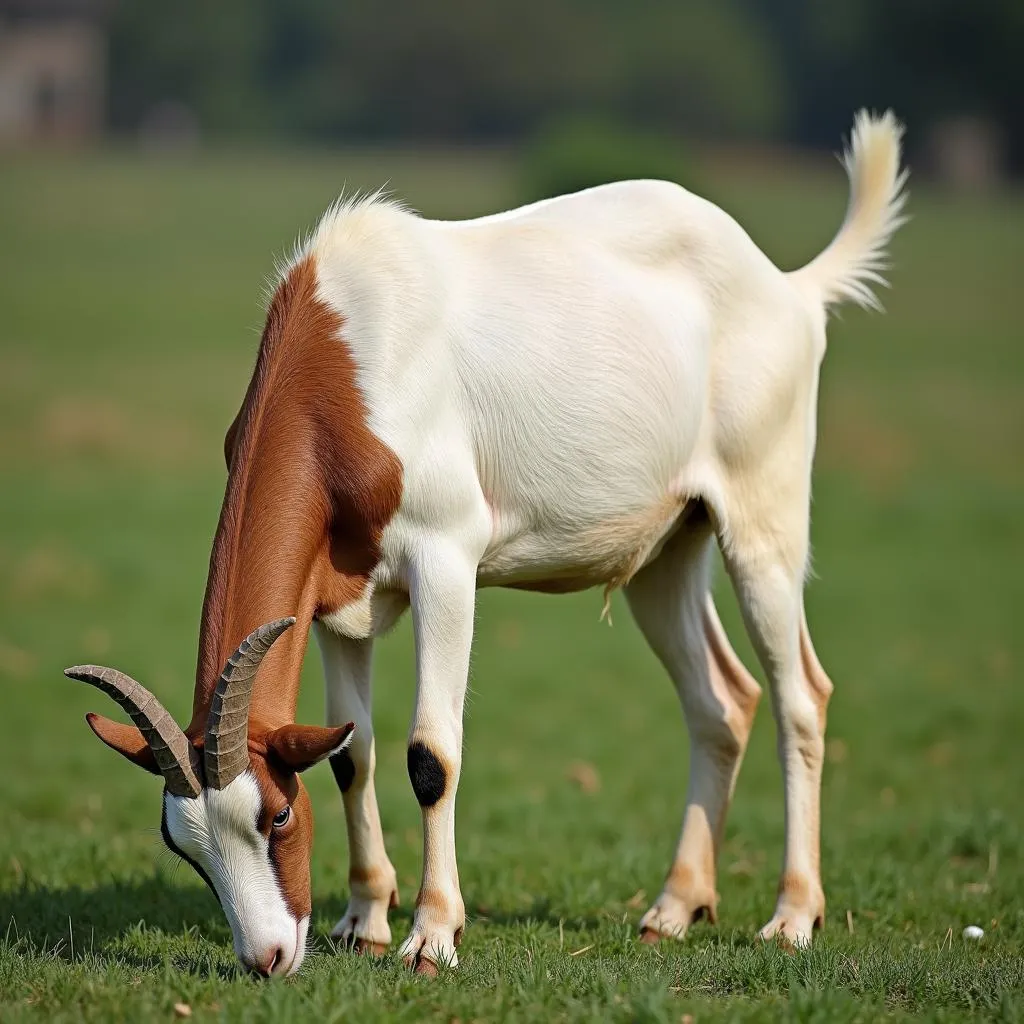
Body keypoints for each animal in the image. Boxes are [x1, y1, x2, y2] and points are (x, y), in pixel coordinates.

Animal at [68, 112, 909, 974]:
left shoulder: (446, 561)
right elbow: (350, 754)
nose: (266, 957)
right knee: (723, 700)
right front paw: (363, 923)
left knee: (799, 696)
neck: (351, 345)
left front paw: (432, 935)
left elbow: (430, 754)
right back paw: (673, 909)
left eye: (274, 815)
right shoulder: (338, 601)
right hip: (666, 555)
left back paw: (793, 917)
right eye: (186, 845)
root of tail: (790, 288)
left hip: (760, 527)